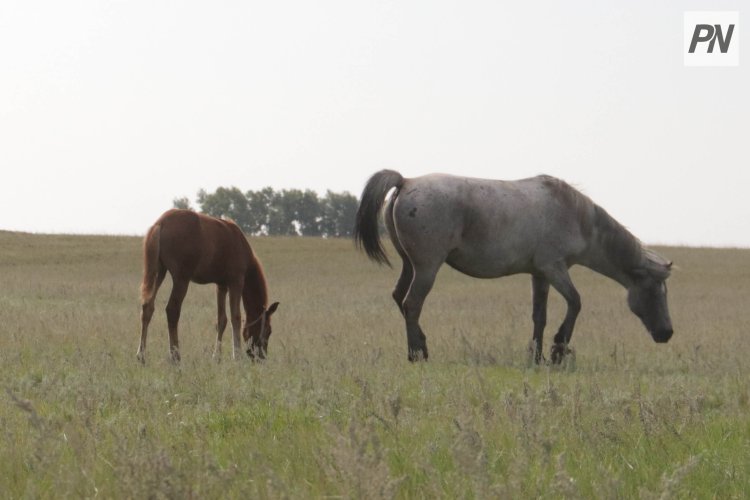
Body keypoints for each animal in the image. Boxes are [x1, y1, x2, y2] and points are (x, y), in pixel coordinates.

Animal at [137, 208, 280, 364]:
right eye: (268, 331)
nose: (261, 358)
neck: (240, 244)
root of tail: (160, 224)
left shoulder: (221, 286)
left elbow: (221, 320)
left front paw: (216, 357)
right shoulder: (236, 282)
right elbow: (235, 317)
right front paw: (237, 356)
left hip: (159, 272)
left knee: (148, 307)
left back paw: (142, 356)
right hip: (181, 279)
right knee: (172, 310)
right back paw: (176, 357)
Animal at [356, 170, 680, 362]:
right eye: (655, 291)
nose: (667, 333)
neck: (575, 215)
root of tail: (406, 182)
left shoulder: (540, 275)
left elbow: (540, 316)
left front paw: (537, 356)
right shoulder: (554, 268)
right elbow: (575, 303)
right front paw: (558, 349)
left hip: (410, 266)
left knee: (400, 298)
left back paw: (420, 345)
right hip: (426, 268)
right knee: (412, 304)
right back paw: (417, 354)